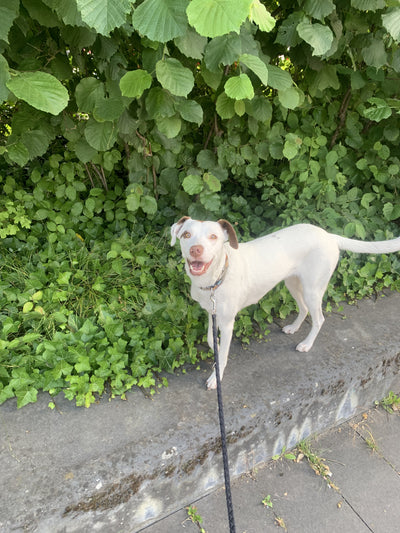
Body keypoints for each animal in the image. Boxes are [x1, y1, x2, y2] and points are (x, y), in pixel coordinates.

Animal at [170, 218, 400, 388]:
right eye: (186, 235)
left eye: (213, 237)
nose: (196, 250)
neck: (216, 277)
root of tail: (328, 236)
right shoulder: (212, 312)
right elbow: (211, 339)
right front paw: (215, 349)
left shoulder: (227, 323)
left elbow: (223, 353)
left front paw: (216, 377)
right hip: (292, 283)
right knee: (304, 309)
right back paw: (293, 328)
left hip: (312, 290)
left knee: (319, 319)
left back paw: (306, 344)